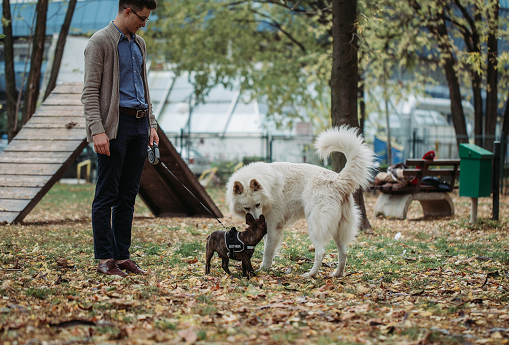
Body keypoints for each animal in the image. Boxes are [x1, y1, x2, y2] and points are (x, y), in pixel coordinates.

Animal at [224, 125, 376, 278]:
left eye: (257, 204)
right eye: (246, 208)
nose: (254, 220)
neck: (267, 187)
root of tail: (338, 179)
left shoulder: (273, 226)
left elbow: (267, 250)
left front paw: (264, 269)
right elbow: (268, 247)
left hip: (315, 226)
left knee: (321, 252)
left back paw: (310, 275)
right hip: (339, 229)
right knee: (344, 253)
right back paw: (337, 274)